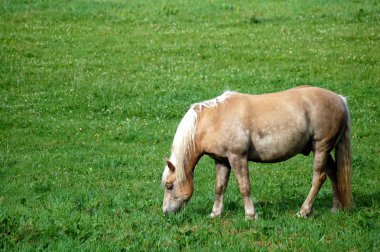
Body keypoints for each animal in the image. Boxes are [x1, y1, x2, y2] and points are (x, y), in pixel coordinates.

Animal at [161, 85, 354, 220]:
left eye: (170, 186)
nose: (165, 212)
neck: (214, 120)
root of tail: (340, 100)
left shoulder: (237, 158)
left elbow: (244, 187)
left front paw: (250, 215)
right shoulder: (222, 161)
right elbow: (220, 187)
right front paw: (215, 214)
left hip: (321, 148)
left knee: (318, 178)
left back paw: (304, 211)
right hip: (323, 150)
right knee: (334, 173)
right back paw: (336, 208)